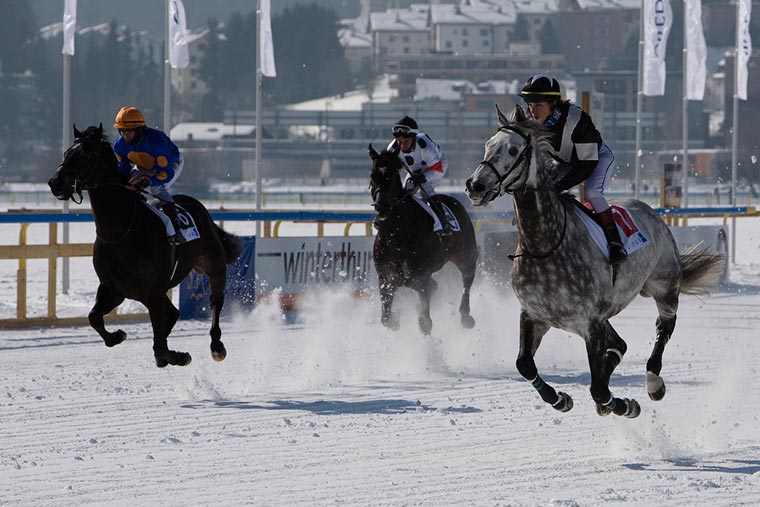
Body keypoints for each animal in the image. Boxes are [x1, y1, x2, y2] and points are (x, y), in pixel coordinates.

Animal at [47, 125, 242, 368]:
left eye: (84, 155)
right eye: (66, 153)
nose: (55, 182)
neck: (121, 233)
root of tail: (200, 207)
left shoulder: (152, 293)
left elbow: (160, 346)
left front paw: (177, 355)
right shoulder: (114, 288)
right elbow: (94, 318)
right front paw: (118, 335)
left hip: (213, 264)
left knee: (215, 301)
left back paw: (216, 346)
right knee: (173, 313)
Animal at [366, 144, 476, 334]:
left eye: (392, 176)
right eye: (373, 176)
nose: (381, 206)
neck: (397, 236)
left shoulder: (421, 277)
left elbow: (425, 323)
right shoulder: (386, 278)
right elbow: (386, 319)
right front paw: (395, 319)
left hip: (466, 255)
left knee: (467, 278)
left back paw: (466, 316)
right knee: (436, 285)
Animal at [464, 105, 724, 418]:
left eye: (513, 150)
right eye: (488, 145)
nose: (475, 185)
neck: (546, 245)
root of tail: (649, 210)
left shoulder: (590, 322)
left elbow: (598, 388)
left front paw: (624, 405)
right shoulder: (535, 315)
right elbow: (524, 364)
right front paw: (560, 399)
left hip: (663, 285)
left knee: (664, 326)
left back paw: (653, 382)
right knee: (619, 345)